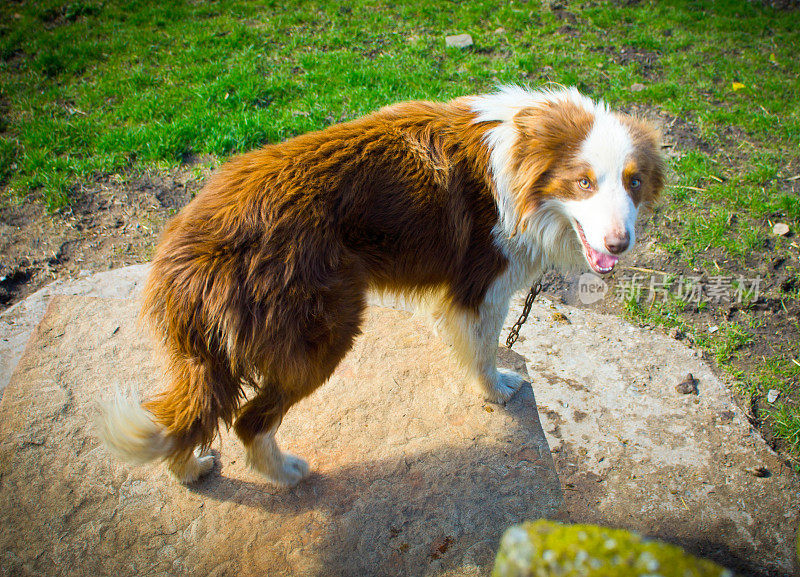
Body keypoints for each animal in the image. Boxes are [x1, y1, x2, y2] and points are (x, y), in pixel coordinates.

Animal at [97, 86, 664, 486]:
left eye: (634, 182)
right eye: (583, 181)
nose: (619, 245)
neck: (527, 161)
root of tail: (190, 251)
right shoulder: (482, 285)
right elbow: (482, 350)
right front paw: (498, 390)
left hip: (213, 357)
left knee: (188, 416)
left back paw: (191, 471)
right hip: (323, 332)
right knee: (248, 420)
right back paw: (288, 474)